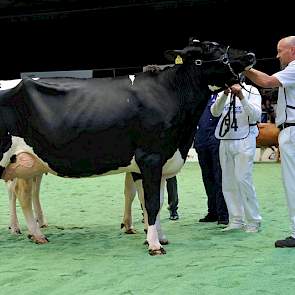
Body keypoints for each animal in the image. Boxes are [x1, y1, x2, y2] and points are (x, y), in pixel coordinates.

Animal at [0, 40, 256, 256]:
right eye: (212, 48)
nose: (251, 55)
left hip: (27, 164)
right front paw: (154, 245)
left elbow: (154, 202)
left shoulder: (152, 163)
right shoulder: (151, 157)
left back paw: (37, 235)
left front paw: (158, 237)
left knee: (24, 195)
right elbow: (151, 203)